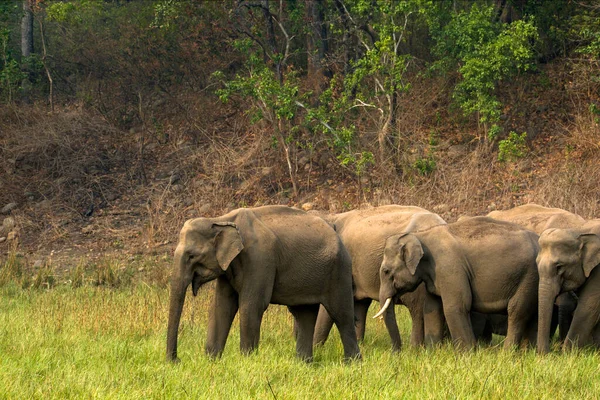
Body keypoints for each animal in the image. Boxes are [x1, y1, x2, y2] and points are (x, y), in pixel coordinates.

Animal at [165, 205, 360, 364]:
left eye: (191, 256)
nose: (177, 360)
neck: (221, 219)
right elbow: (221, 306)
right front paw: (212, 361)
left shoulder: (259, 259)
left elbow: (251, 305)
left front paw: (246, 361)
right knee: (304, 314)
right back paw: (304, 364)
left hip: (339, 270)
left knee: (341, 314)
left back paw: (351, 363)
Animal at [376, 216, 540, 350]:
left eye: (386, 271)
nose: (397, 353)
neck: (421, 235)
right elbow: (432, 308)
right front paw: (433, 352)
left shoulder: (450, 268)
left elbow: (456, 305)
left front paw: (467, 354)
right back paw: (527, 352)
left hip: (529, 275)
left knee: (517, 311)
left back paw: (507, 353)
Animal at [536, 222, 600, 354]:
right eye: (536, 263)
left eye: (559, 266)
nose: (548, 353)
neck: (580, 231)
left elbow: (588, 307)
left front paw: (568, 354)